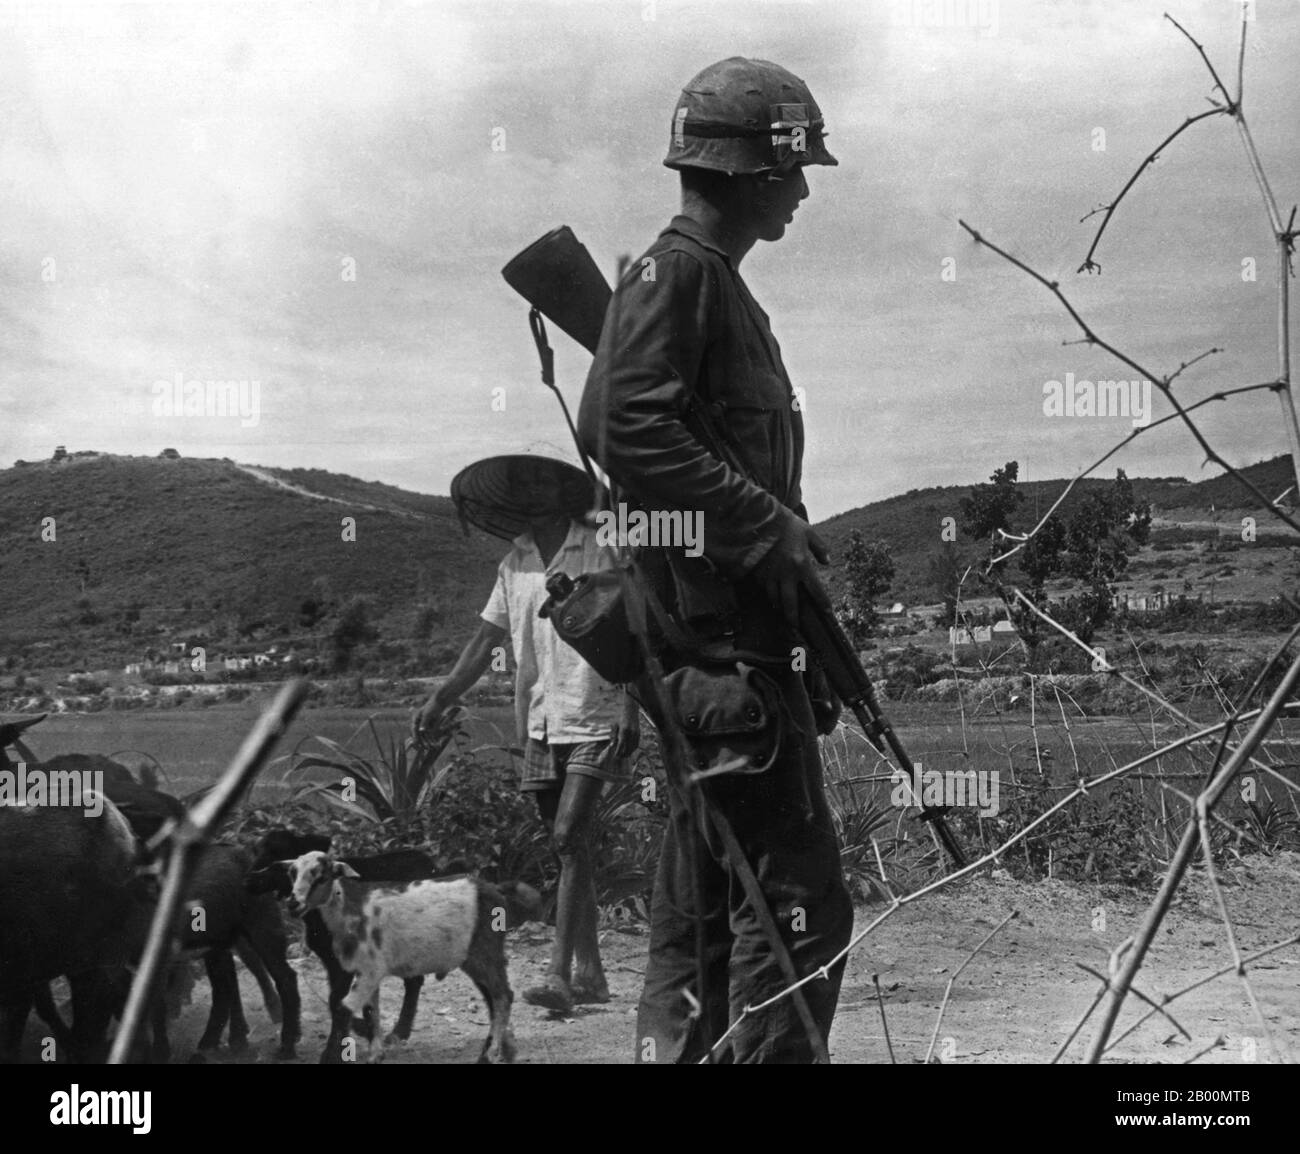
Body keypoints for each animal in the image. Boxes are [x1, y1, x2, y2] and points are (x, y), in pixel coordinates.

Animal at [287, 847, 540, 1065]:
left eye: (321, 877)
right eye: (293, 874)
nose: (292, 904)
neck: (349, 910)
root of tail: (496, 889)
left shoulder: (371, 969)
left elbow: (343, 1009)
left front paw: (330, 1056)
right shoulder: (366, 971)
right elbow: (371, 1012)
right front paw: (376, 1054)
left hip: (485, 952)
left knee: (502, 997)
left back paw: (489, 1055)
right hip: (474, 960)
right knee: (493, 998)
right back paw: (502, 1051)